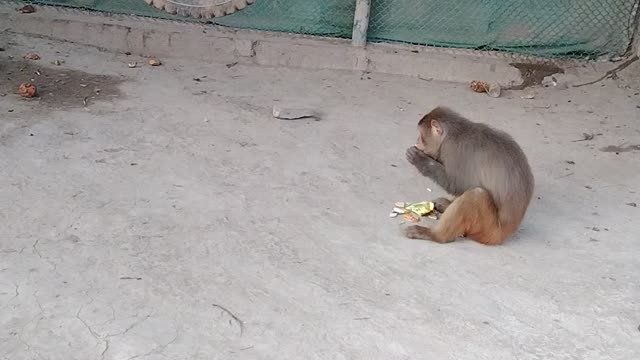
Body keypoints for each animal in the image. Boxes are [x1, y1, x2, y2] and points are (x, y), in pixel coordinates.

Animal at [404, 105, 536, 243]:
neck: (451, 134)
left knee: (476, 195)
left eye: (421, 136)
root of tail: (505, 234)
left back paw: (435, 235)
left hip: (487, 229)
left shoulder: (455, 150)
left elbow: (457, 184)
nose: (417, 141)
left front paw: (420, 159)